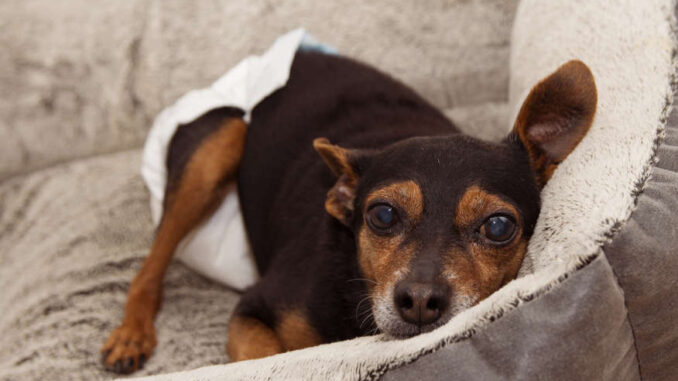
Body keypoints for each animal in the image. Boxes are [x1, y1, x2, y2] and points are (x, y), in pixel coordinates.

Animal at [99, 49, 596, 372]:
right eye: (383, 216)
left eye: (497, 226)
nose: (420, 301)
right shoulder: (253, 310)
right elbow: (272, 358)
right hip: (217, 142)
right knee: (151, 263)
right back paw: (131, 335)